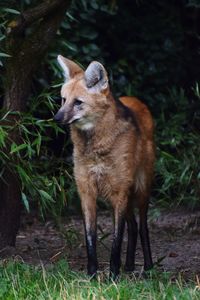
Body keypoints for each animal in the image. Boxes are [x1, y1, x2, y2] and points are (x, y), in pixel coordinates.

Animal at [54, 55, 155, 280]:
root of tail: (136, 100)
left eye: (78, 102)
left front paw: (113, 275)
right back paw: (129, 266)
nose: (56, 118)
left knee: (142, 226)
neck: (95, 146)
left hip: (140, 188)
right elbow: (90, 236)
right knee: (133, 226)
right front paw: (92, 275)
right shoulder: (87, 190)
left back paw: (148, 267)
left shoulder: (119, 190)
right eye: (63, 100)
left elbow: (117, 239)